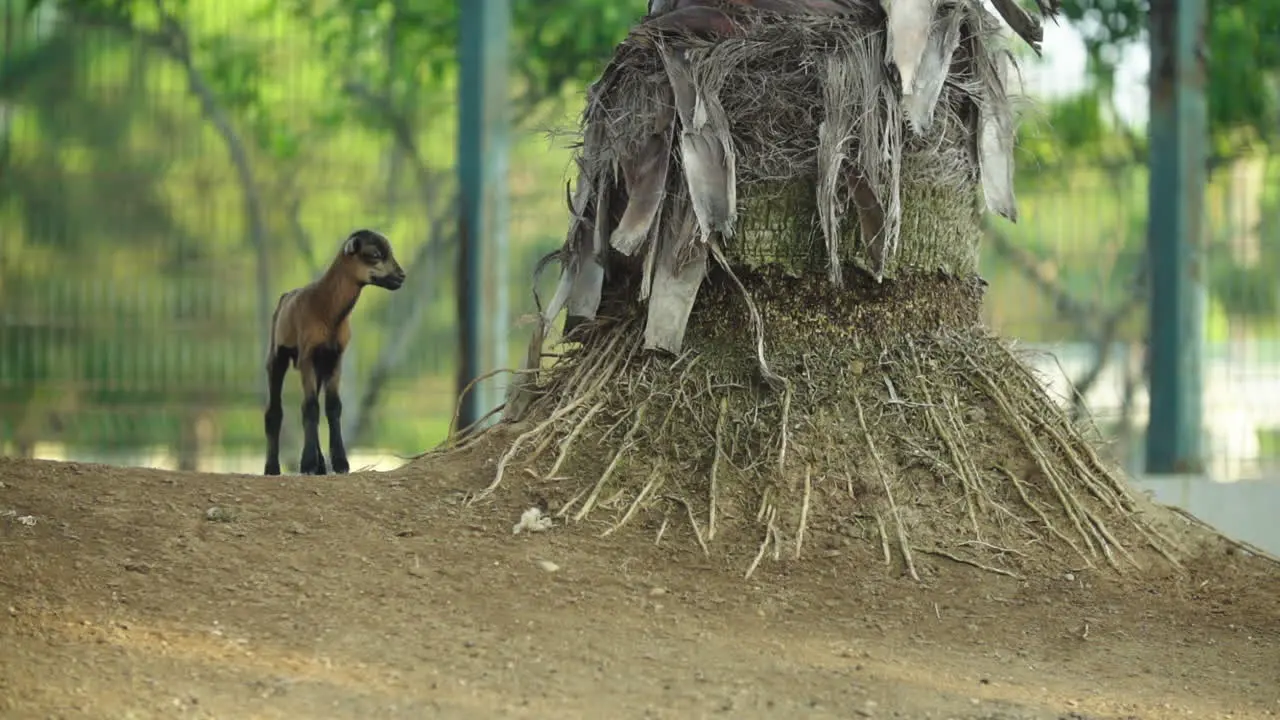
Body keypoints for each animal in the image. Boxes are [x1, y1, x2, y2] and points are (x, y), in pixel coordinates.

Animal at [267, 229, 407, 474]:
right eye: (374, 254)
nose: (401, 276)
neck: (326, 308)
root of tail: (285, 297)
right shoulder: (307, 356)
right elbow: (310, 407)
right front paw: (307, 464)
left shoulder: (336, 358)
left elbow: (332, 406)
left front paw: (340, 463)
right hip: (278, 354)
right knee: (275, 410)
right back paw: (272, 468)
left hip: (320, 366)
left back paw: (321, 466)